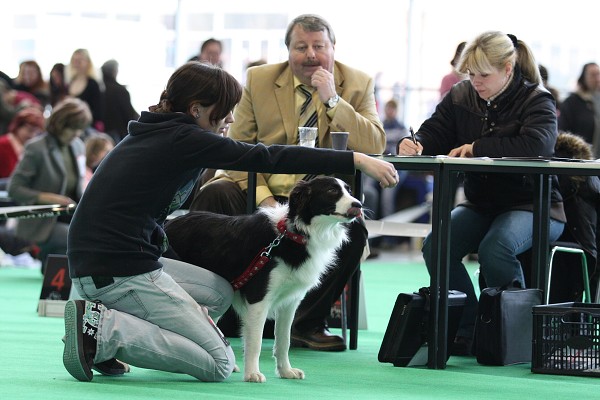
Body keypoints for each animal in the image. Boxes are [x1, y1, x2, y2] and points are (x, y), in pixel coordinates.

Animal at [164, 177, 360, 382]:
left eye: (349, 190)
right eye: (331, 191)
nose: (359, 205)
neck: (294, 234)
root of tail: (167, 225)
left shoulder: (290, 302)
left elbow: (284, 340)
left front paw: (285, 371)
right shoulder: (258, 298)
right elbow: (255, 341)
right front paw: (252, 373)